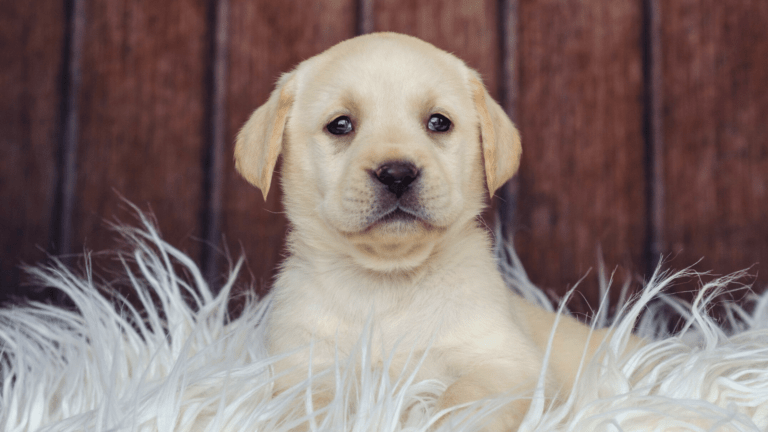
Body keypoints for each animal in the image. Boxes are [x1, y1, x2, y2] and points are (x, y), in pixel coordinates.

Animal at [237, 32, 616, 430]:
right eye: (340, 125)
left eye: (438, 122)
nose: (397, 174)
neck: (388, 282)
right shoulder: (302, 368)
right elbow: (309, 407)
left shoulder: (507, 364)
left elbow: (460, 400)